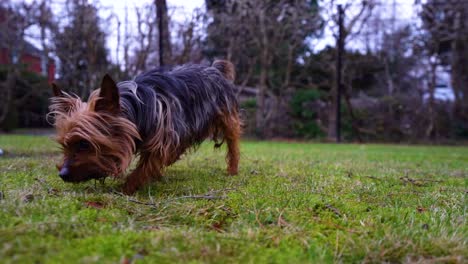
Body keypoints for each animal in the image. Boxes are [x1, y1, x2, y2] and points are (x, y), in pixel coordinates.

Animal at [49, 61, 241, 194]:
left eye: (84, 144)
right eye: (64, 145)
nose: (62, 174)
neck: (137, 108)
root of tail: (215, 69)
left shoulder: (163, 140)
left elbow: (145, 167)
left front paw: (126, 188)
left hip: (226, 118)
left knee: (233, 143)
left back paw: (232, 169)